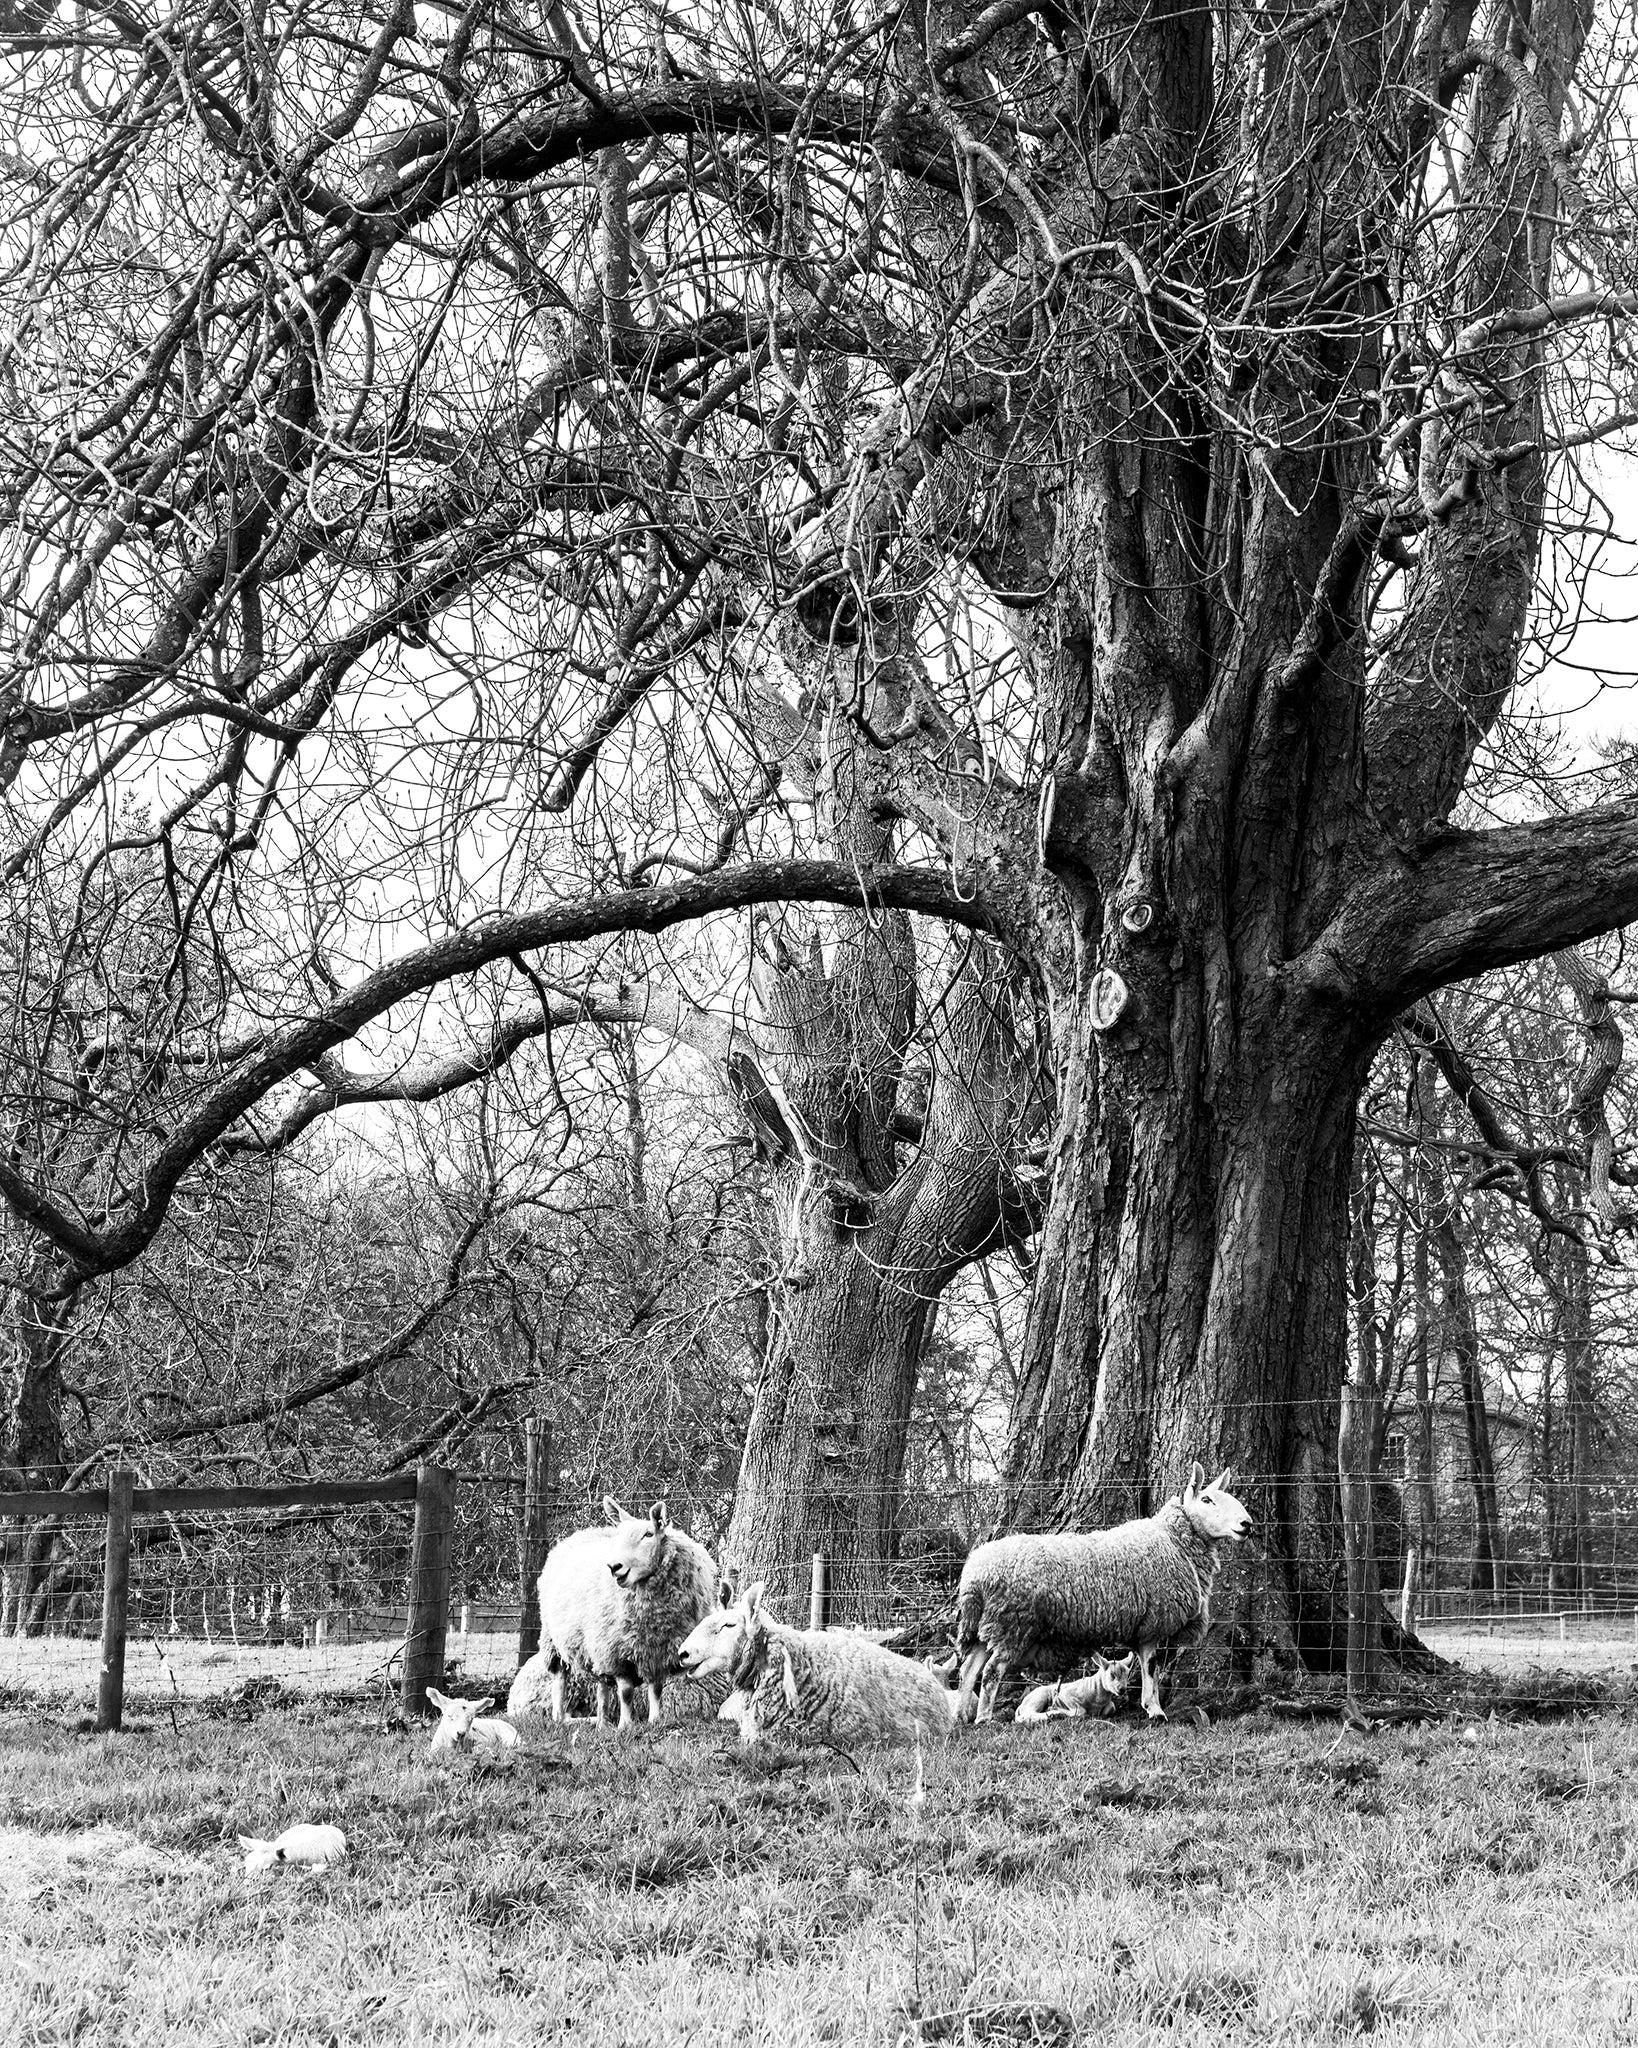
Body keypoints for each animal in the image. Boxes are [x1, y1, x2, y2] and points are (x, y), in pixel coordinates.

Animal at [536, 1490, 716, 1728]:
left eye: (649, 1534)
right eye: (619, 1536)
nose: (614, 1567)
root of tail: (582, 1533)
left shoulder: (657, 1651)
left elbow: (656, 1689)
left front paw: (655, 1721)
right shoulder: (619, 1651)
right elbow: (626, 1692)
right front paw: (625, 1725)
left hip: (596, 1644)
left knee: (601, 1684)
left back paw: (602, 1723)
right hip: (553, 1639)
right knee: (559, 1678)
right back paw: (559, 1717)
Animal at [954, 1458, 1244, 1728]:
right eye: (1206, 1499)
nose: (1247, 1524)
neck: (1173, 1540)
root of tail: (974, 1573)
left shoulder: (1143, 1628)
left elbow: (1145, 1666)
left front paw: (1149, 1706)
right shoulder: (1152, 1625)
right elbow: (1151, 1668)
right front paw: (1155, 1710)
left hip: (987, 1625)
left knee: (968, 1668)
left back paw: (960, 1715)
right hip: (1011, 1624)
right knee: (991, 1671)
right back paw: (983, 1718)